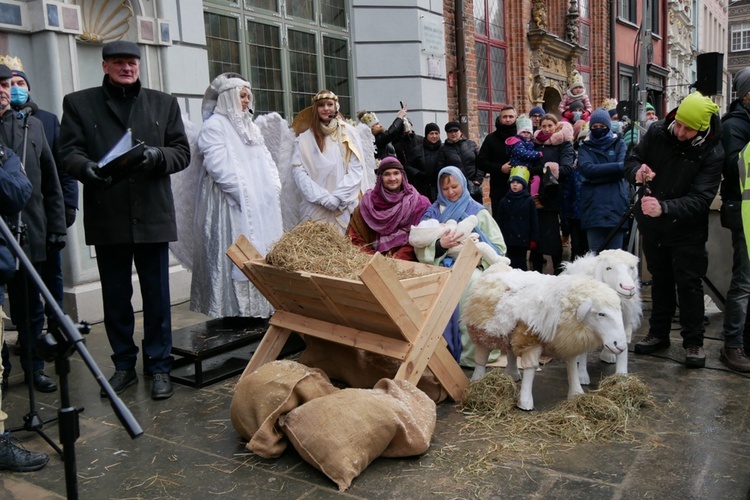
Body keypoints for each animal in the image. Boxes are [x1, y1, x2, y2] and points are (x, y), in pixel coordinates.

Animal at [464, 264, 628, 412]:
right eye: (601, 314)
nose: (620, 345)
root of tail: (496, 267)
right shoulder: (531, 341)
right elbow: (530, 368)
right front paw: (525, 402)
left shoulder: (566, 343)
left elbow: (572, 367)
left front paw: (576, 394)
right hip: (482, 330)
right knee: (481, 356)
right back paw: (477, 379)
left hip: (513, 333)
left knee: (511, 352)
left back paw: (513, 374)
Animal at [564, 252, 648, 384]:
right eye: (608, 268)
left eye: (631, 267)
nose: (628, 288)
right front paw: (582, 377)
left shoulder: (623, 320)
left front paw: (622, 376)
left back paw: (608, 355)